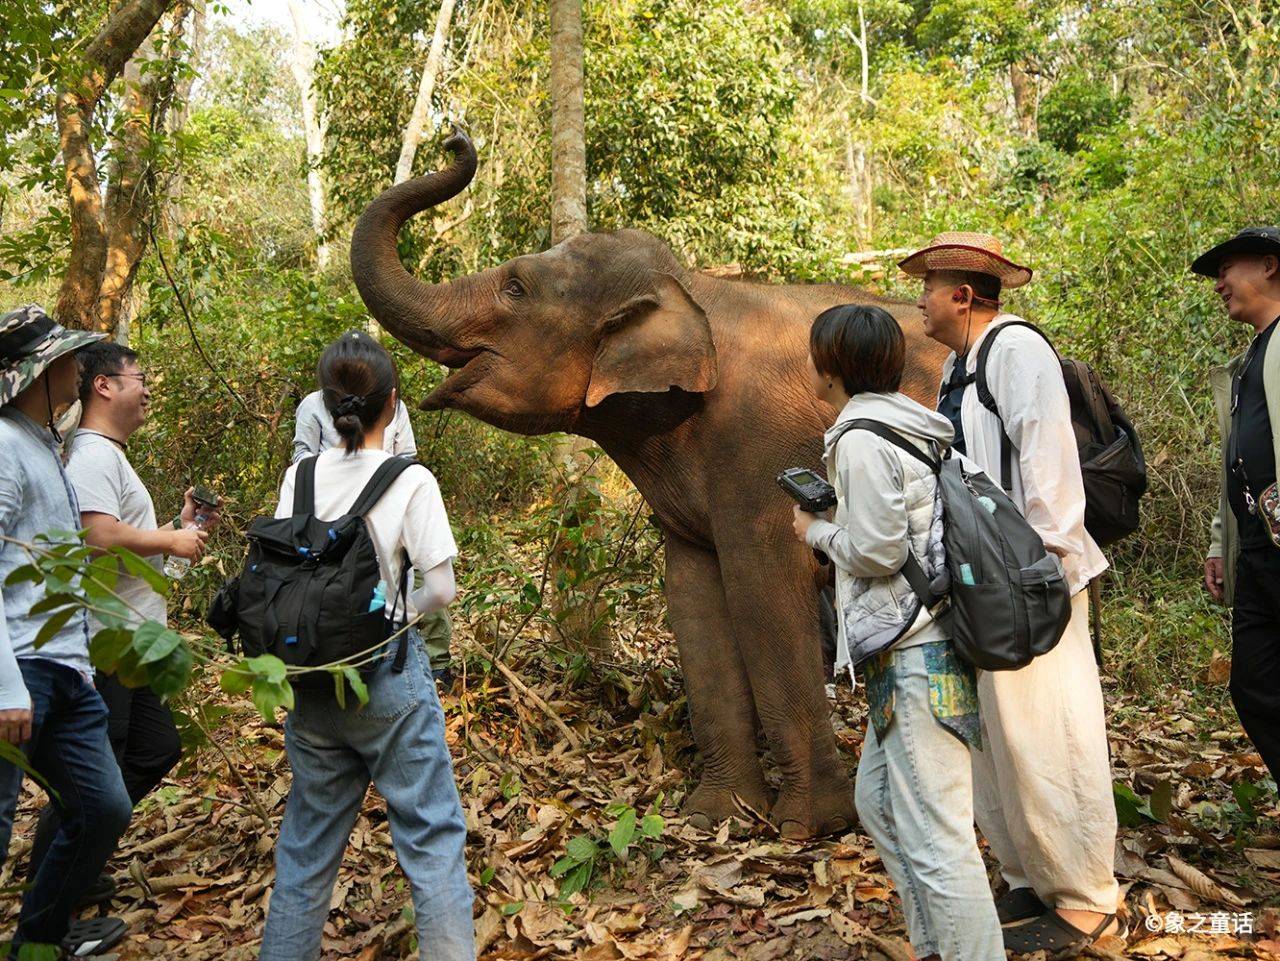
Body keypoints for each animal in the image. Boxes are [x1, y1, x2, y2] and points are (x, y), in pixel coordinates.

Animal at [350, 131, 952, 839]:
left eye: (516, 286)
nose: (456, 138)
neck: (693, 290)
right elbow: (694, 600)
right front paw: (715, 814)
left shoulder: (757, 448)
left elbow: (763, 594)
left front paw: (809, 826)